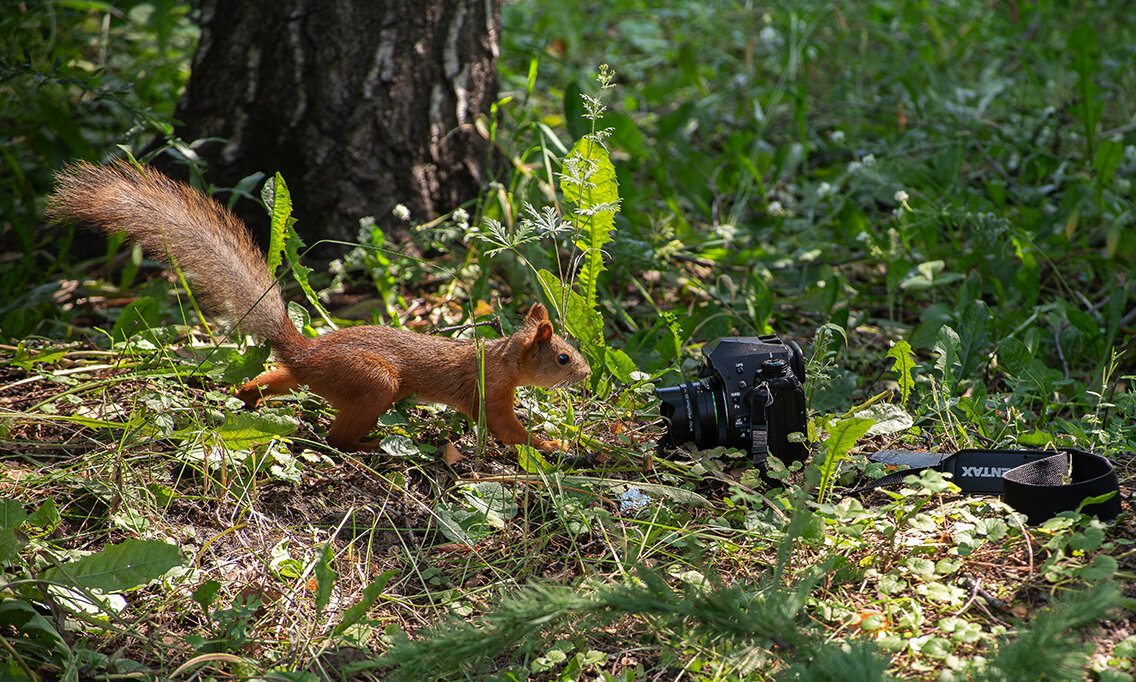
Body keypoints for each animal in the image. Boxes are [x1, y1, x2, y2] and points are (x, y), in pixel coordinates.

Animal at [45, 159, 591, 452]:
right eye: (563, 357)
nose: (586, 375)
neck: (503, 358)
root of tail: (309, 351)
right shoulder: (490, 393)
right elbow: (506, 429)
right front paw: (553, 445)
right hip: (375, 383)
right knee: (335, 436)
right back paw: (369, 445)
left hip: (307, 375)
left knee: (277, 378)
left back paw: (249, 396)